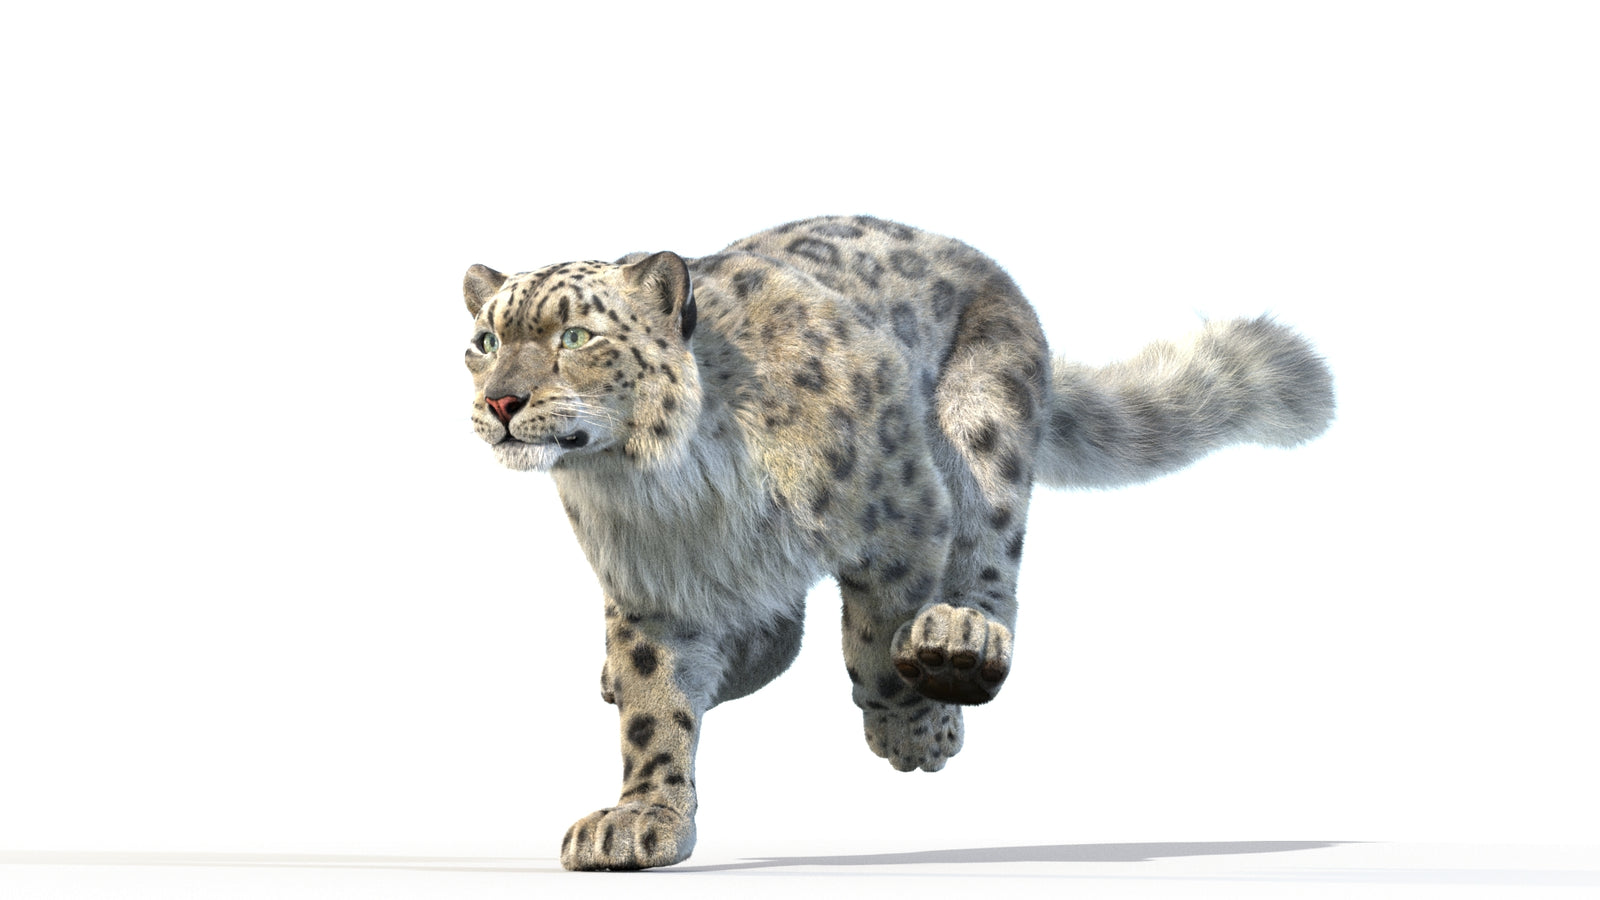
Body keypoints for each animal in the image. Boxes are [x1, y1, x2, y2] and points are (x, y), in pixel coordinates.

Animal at [458, 215, 1334, 871]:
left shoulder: (901, 511)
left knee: (987, 561)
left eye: (575, 336)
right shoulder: (650, 587)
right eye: (483, 340)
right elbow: (654, 706)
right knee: (774, 640)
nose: (502, 401)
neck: (669, 486)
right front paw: (643, 815)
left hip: (985, 419)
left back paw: (960, 641)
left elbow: (878, 635)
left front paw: (913, 731)